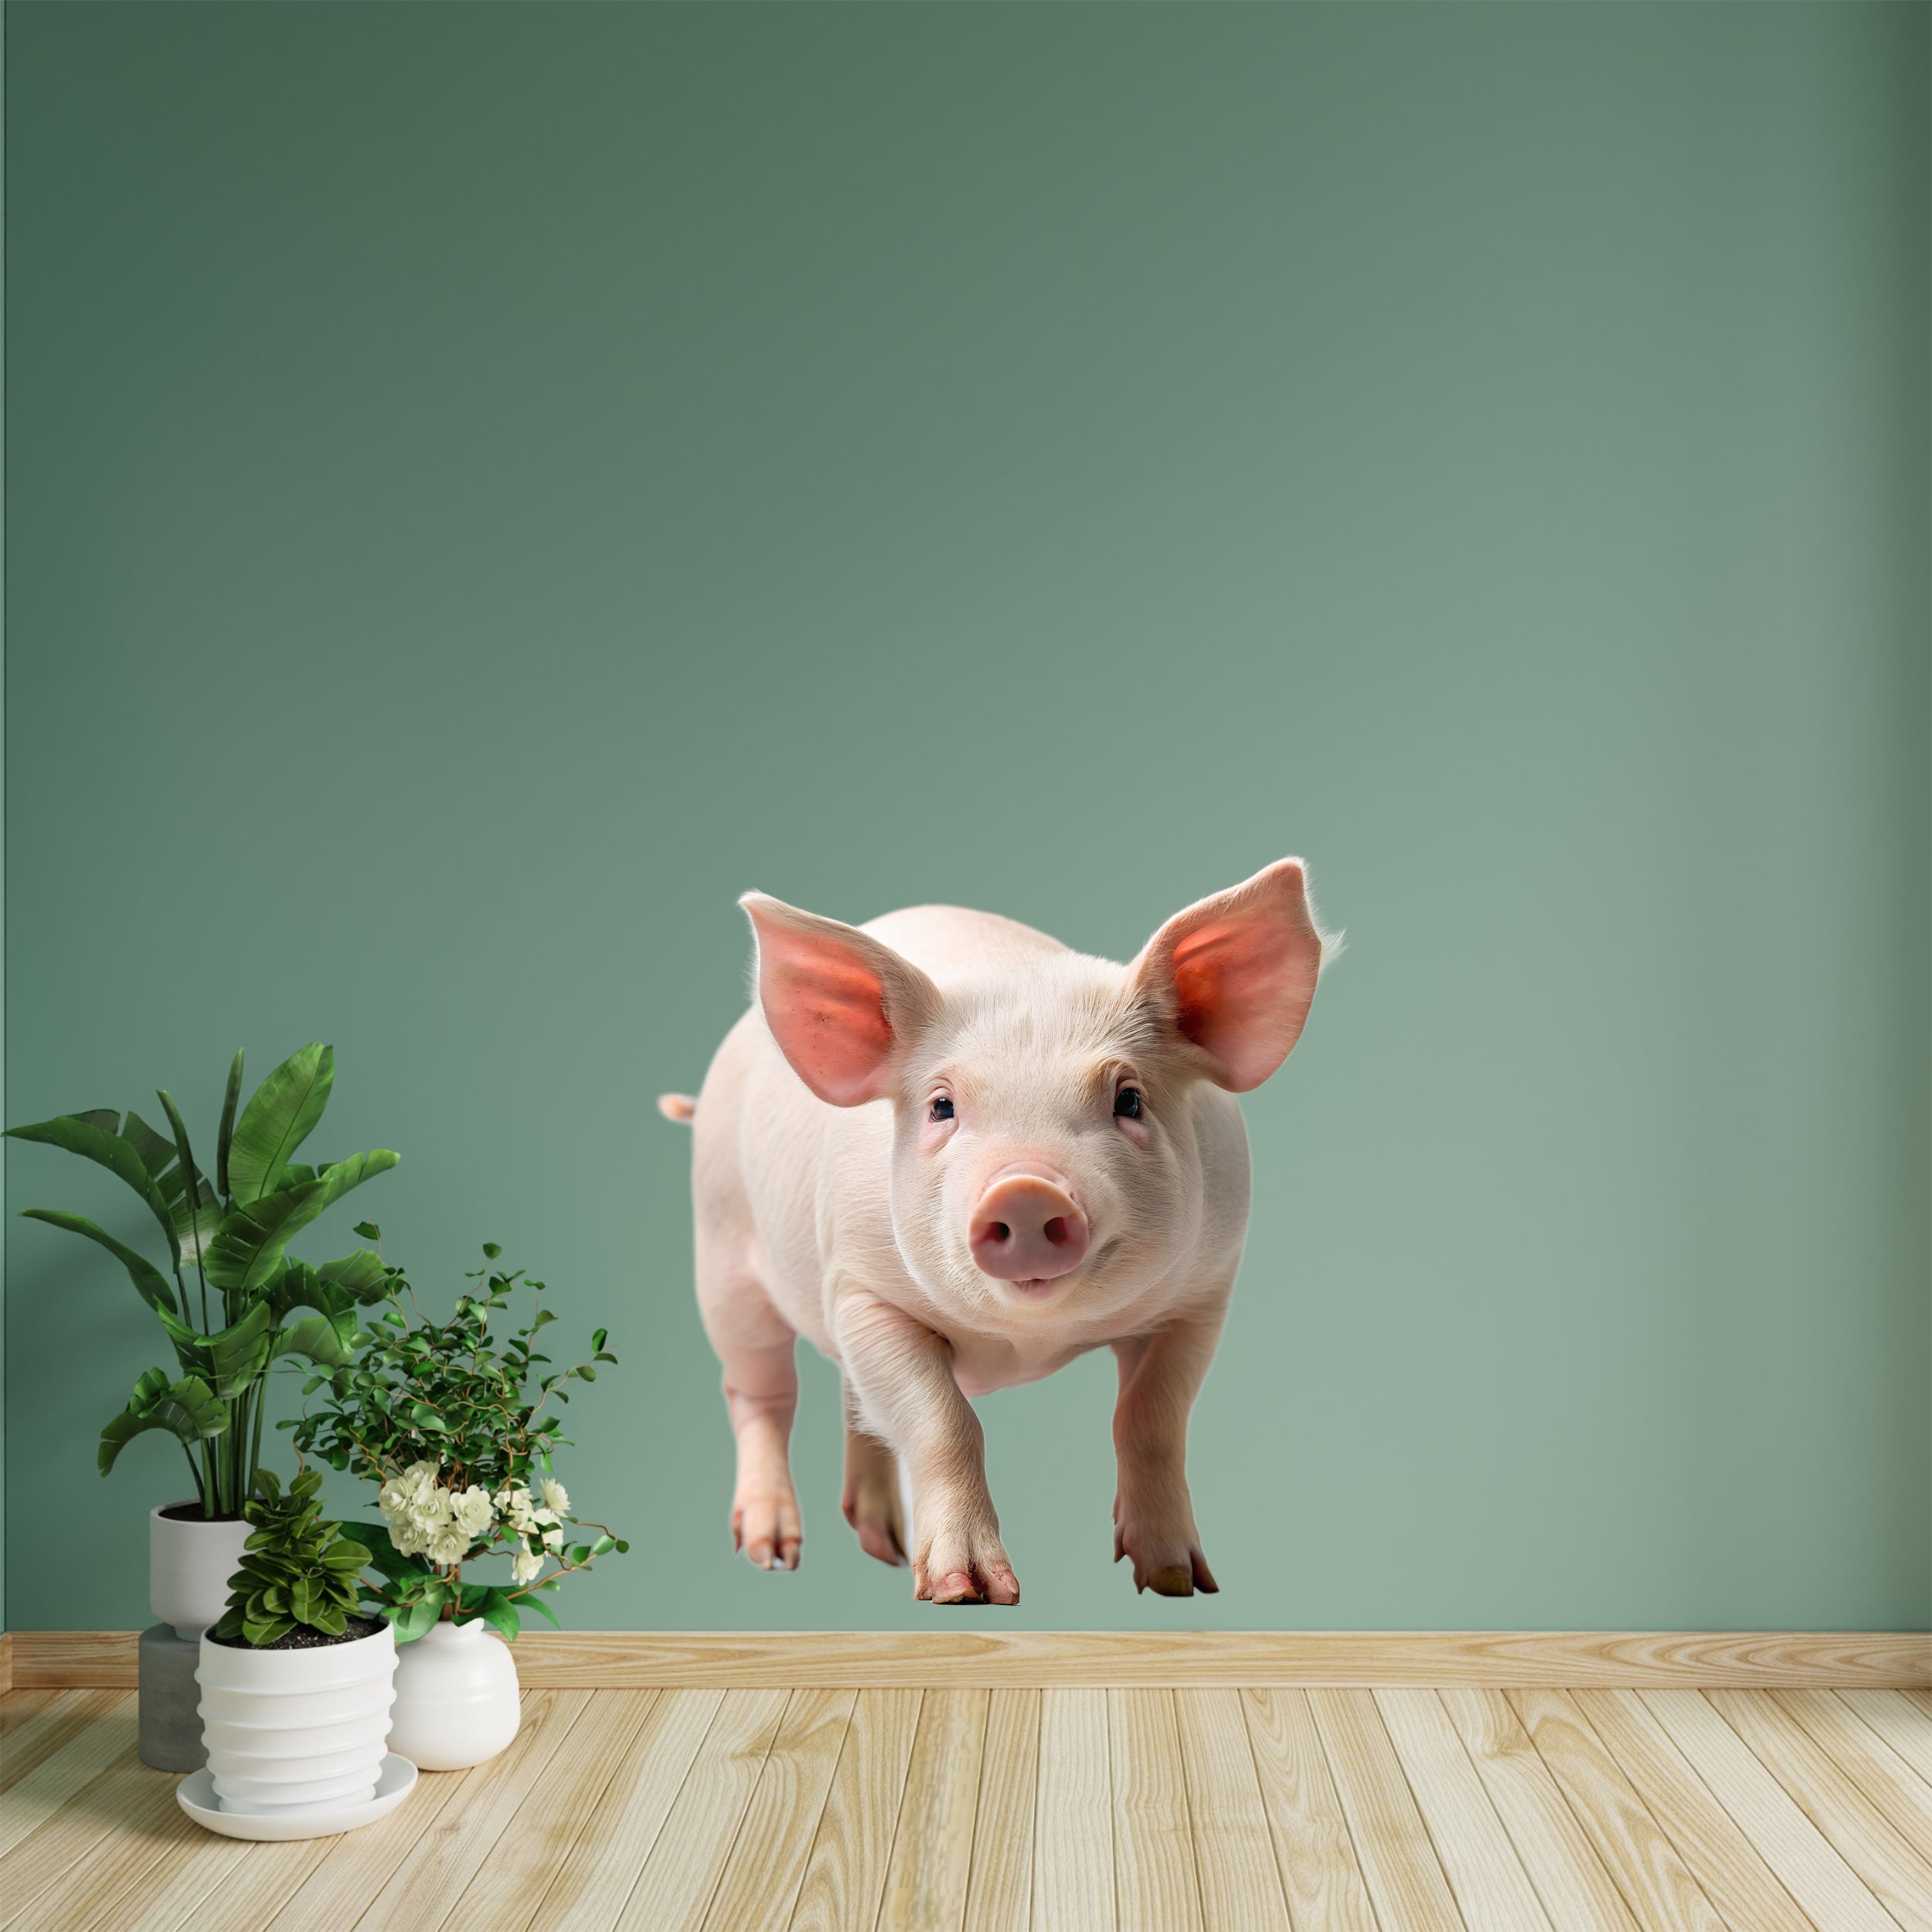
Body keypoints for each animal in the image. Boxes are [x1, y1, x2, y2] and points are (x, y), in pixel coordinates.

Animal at [659, 859, 1337, 1604]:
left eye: (1129, 1099)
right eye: (941, 1106)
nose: (1026, 1189)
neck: (1026, 1341)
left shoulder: (1204, 1295)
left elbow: (1152, 1420)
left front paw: (1177, 1582)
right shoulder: (863, 1289)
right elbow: (944, 1421)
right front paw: (969, 1593)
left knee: (853, 1401)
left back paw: (884, 1547)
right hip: (721, 1251)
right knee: (759, 1392)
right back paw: (773, 1553)